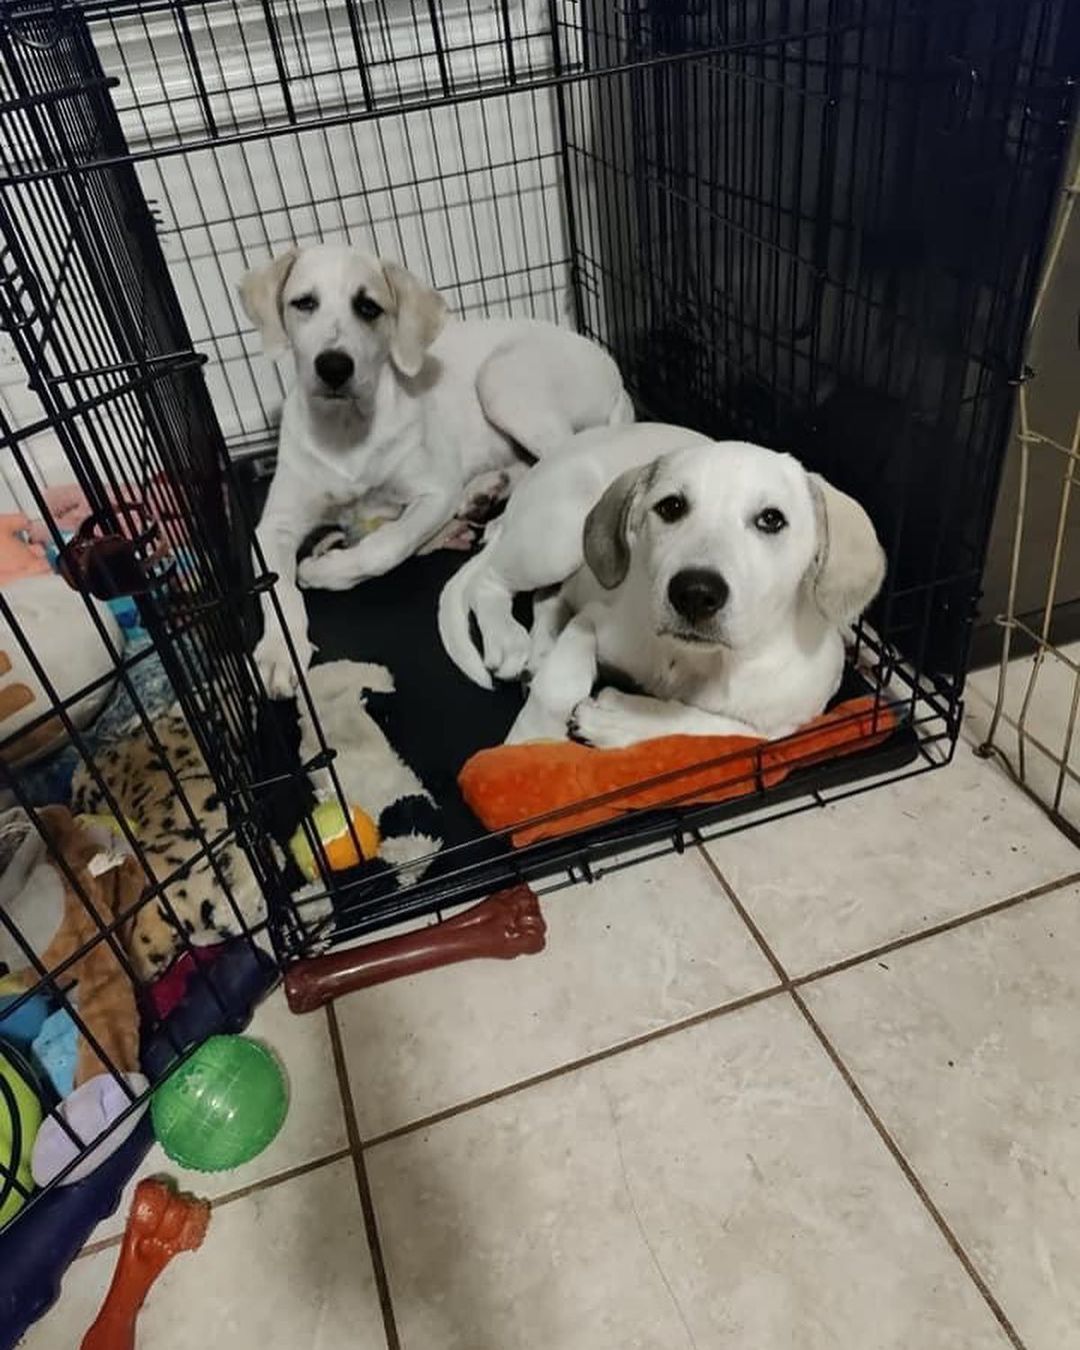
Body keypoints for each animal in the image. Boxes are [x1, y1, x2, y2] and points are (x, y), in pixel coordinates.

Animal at [232, 244, 629, 702]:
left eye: (368, 307)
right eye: (304, 303)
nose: (333, 367)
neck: (346, 432)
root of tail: (614, 374)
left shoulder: (435, 492)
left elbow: (385, 548)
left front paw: (324, 570)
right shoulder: (273, 525)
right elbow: (275, 586)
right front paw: (279, 651)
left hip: (501, 379)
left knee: (556, 457)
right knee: (527, 464)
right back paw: (484, 492)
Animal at [437, 423, 885, 750]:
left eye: (771, 519)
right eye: (671, 506)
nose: (696, 593)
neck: (699, 659)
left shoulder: (784, 727)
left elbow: (710, 726)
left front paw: (617, 718)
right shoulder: (595, 621)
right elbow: (559, 687)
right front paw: (529, 744)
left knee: (549, 597)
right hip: (558, 538)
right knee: (491, 581)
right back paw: (509, 641)